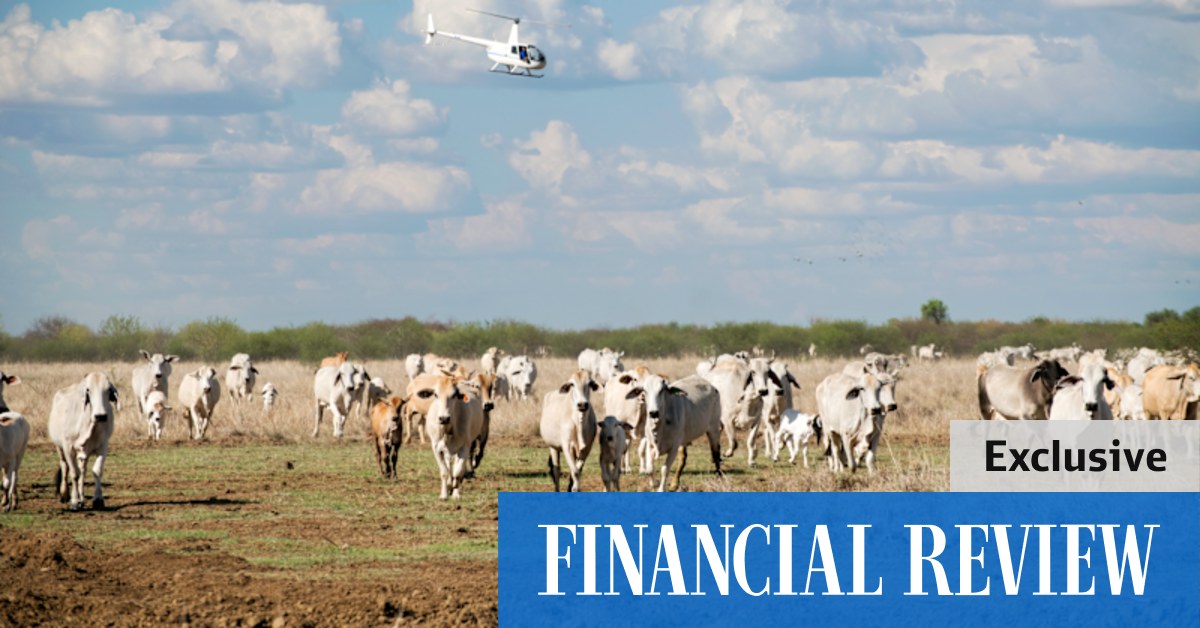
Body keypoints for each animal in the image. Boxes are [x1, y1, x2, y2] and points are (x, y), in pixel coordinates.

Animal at [49, 372, 118, 510]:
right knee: (65, 466)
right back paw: (64, 494)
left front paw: (98, 500)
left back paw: (82, 497)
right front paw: (74, 501)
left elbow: (96, 471)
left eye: (108, 390)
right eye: (88, 390)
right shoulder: (68, 447)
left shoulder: (103, 446)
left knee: (83, 471)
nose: (101, 416)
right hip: (59, 447)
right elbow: (74, 473)